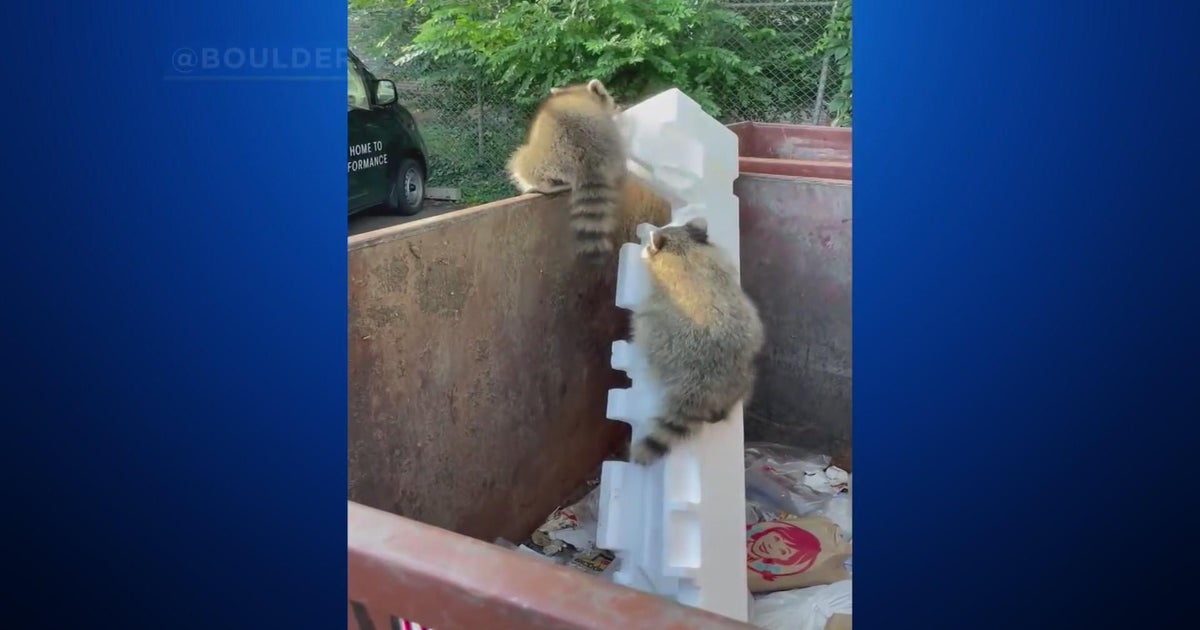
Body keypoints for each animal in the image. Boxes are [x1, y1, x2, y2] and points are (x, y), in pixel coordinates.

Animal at [507, 79, 627, 262]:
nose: (618, 107)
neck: (576, 92)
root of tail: (587, 156)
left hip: (543, 158)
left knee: (519, 161)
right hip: (613, 151)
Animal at [629, 217, 765, 465]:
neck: (686, 249)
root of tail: (703, 382)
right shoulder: (721, 257)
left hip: (661, 341)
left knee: (643, 324)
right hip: (744, 370)